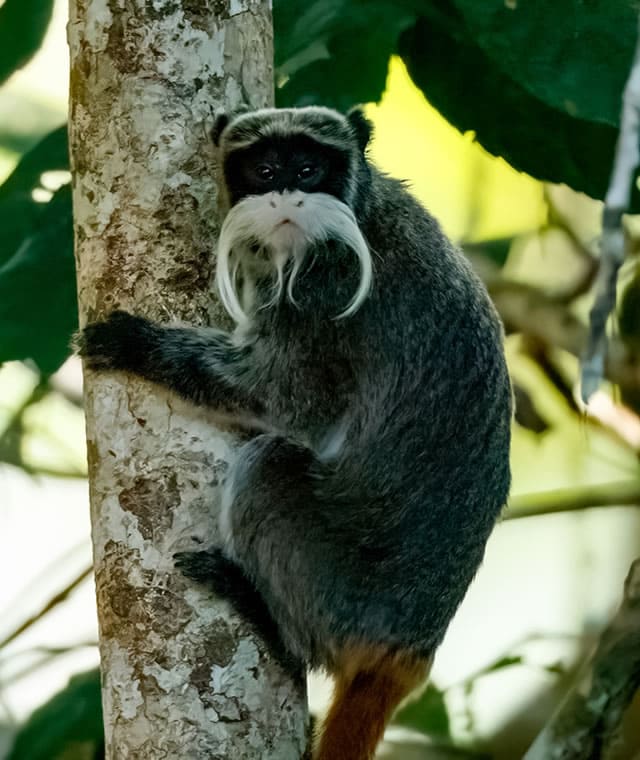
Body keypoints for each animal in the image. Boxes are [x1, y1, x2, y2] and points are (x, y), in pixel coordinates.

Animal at [77, 105, 512, 760]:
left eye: (307, 169)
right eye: (265, 170)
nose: (287, 194)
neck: (366, 211)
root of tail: (408, 651)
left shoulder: (323, 285)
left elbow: (282, 399)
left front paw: (139, 345)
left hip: (336, 583)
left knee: (270, 461)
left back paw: (270, 621)